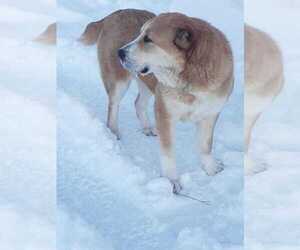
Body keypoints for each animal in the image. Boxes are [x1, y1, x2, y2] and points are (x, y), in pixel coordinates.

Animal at [78, 8, 158, 139]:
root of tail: (115, 13)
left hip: (148, 82)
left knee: (138, 104)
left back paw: (148, 129)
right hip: (119, 82)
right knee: (113, 108)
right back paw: (114, 134)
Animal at [120, 12, 234, 192]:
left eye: (148, 39)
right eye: (140, 34)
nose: (120, 52)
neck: (192, 76)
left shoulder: (210, 114)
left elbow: (205, 145)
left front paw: (210, 168)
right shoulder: (164, 114)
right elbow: (168, 153)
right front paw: (171, 180)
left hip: (146, 85)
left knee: (138, 103)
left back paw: (147, 128)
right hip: (118, 83)